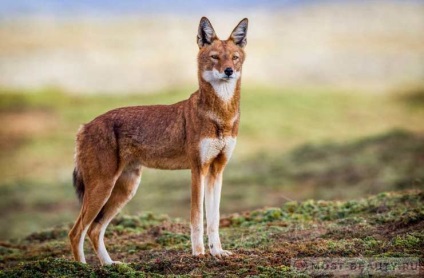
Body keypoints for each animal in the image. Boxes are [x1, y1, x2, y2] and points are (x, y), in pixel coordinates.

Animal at [69, 16, 248, 264]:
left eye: (234, 57)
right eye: (215, 57)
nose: (229, 71)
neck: (221, 116)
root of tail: (84, 127)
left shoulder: (216, 171)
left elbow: (213, 219)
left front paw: (217, 252)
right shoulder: (197, 170)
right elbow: (196, 218)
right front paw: (199, 253)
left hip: (124, 190)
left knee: (94, 230)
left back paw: (109, 265)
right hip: (102, 189)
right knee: (76, 232)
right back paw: (84, 268)